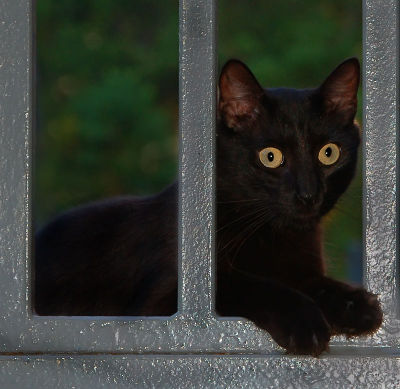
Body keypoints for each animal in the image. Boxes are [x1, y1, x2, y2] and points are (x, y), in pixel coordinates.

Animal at [36, 56, 382, 354]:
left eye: (329, 153)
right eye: (270, 157)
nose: (308, 194)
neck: (270, 233)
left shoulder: (302, 267)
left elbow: (310, 282)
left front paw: (355, 303)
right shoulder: (163, 306)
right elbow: (243, 284)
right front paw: (304, 319)